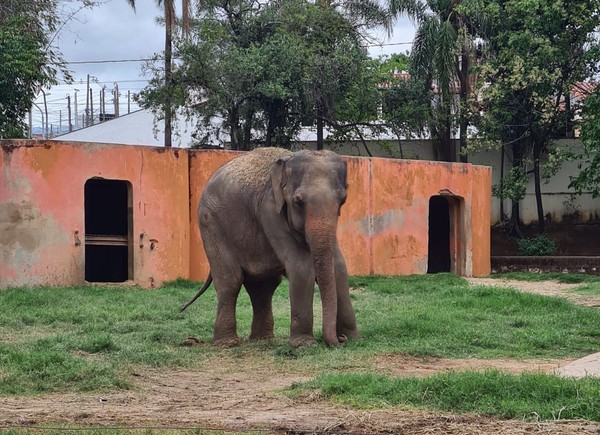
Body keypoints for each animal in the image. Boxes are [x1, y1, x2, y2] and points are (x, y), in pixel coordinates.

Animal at [180, 148, 358, 350]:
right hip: (211, 224)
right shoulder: (269, 211)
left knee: (263, 286)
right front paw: (305, 345)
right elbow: (301, 266)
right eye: (298, 202)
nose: (340, 340)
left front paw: (353, 338)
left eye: (343, 200)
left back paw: (262, 340)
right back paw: (227, 343)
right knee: (230, 281)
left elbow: (339, 266)